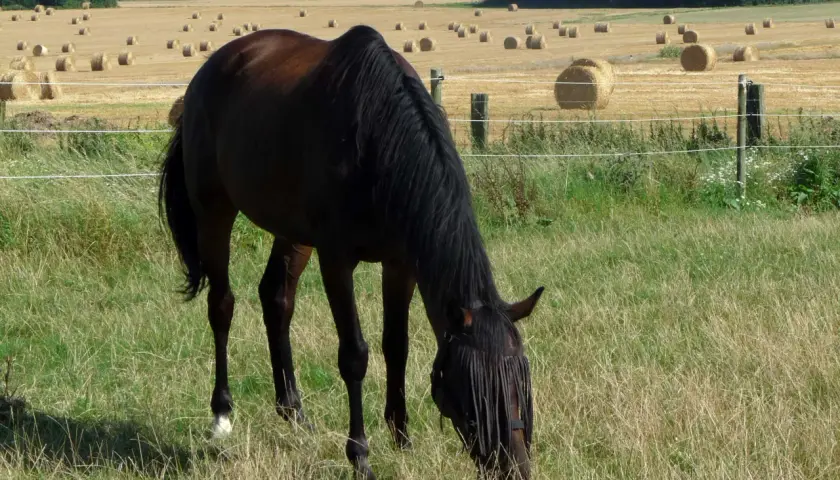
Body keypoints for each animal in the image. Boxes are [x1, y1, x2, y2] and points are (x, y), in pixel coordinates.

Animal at [157, 25, 544, 479]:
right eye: (474, 386)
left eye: (521, 382)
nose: (514, 467)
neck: (378, 138)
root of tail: (208, 71)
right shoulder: (336, 260)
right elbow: (355, 355)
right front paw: (360, 455)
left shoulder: (401, 263)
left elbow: (396, 345)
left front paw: (402, 438)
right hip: (214, 211)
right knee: (222, 305)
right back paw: (222, 416)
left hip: (293, 232)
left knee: (276, 298)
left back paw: (294, 412)